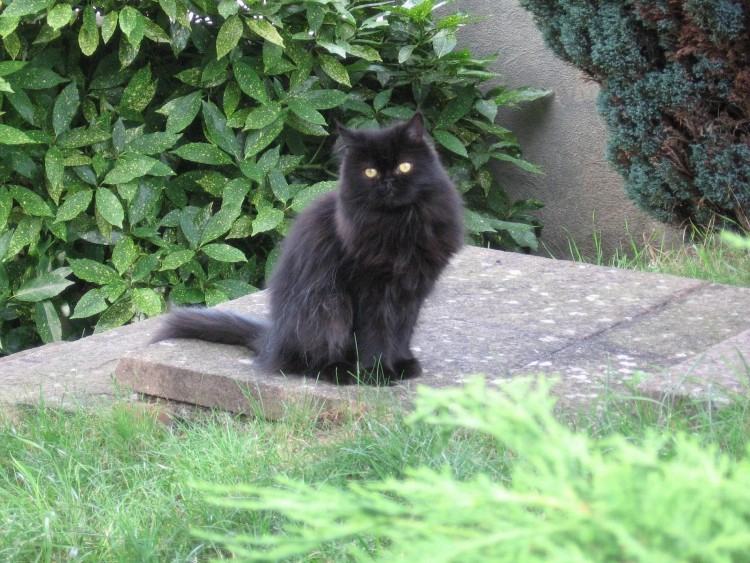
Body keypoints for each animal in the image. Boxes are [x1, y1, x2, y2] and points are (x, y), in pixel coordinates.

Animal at [154, 114, 464, 386]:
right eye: (370, 172)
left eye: (404, 167)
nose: (387, 182)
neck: (399, 225)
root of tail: (274, 339)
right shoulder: (368, 290)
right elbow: (375, 335)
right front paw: (378, 373)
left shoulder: (412, 289)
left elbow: (402, 332)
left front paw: (401, 365)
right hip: (327, 307)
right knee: (306, 362)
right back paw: (341, 373)